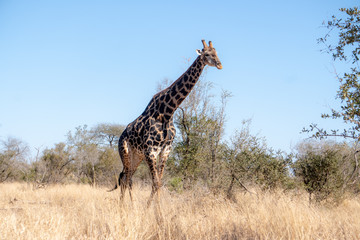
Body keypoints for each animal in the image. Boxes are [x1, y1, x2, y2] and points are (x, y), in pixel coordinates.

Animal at [109, 39, 222, 202]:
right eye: (207, 54)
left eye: (216, 52)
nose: (219, 64)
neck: (168, 112)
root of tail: (120, 136)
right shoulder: (151, 150)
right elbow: (156, 183)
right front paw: (150, 209)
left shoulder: (165, 150)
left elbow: (159, 183)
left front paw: (156, 209)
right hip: (125, 152)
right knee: (126, 178)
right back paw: (126, 206)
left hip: (136, 156)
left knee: (127, 177)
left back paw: (127, 205)